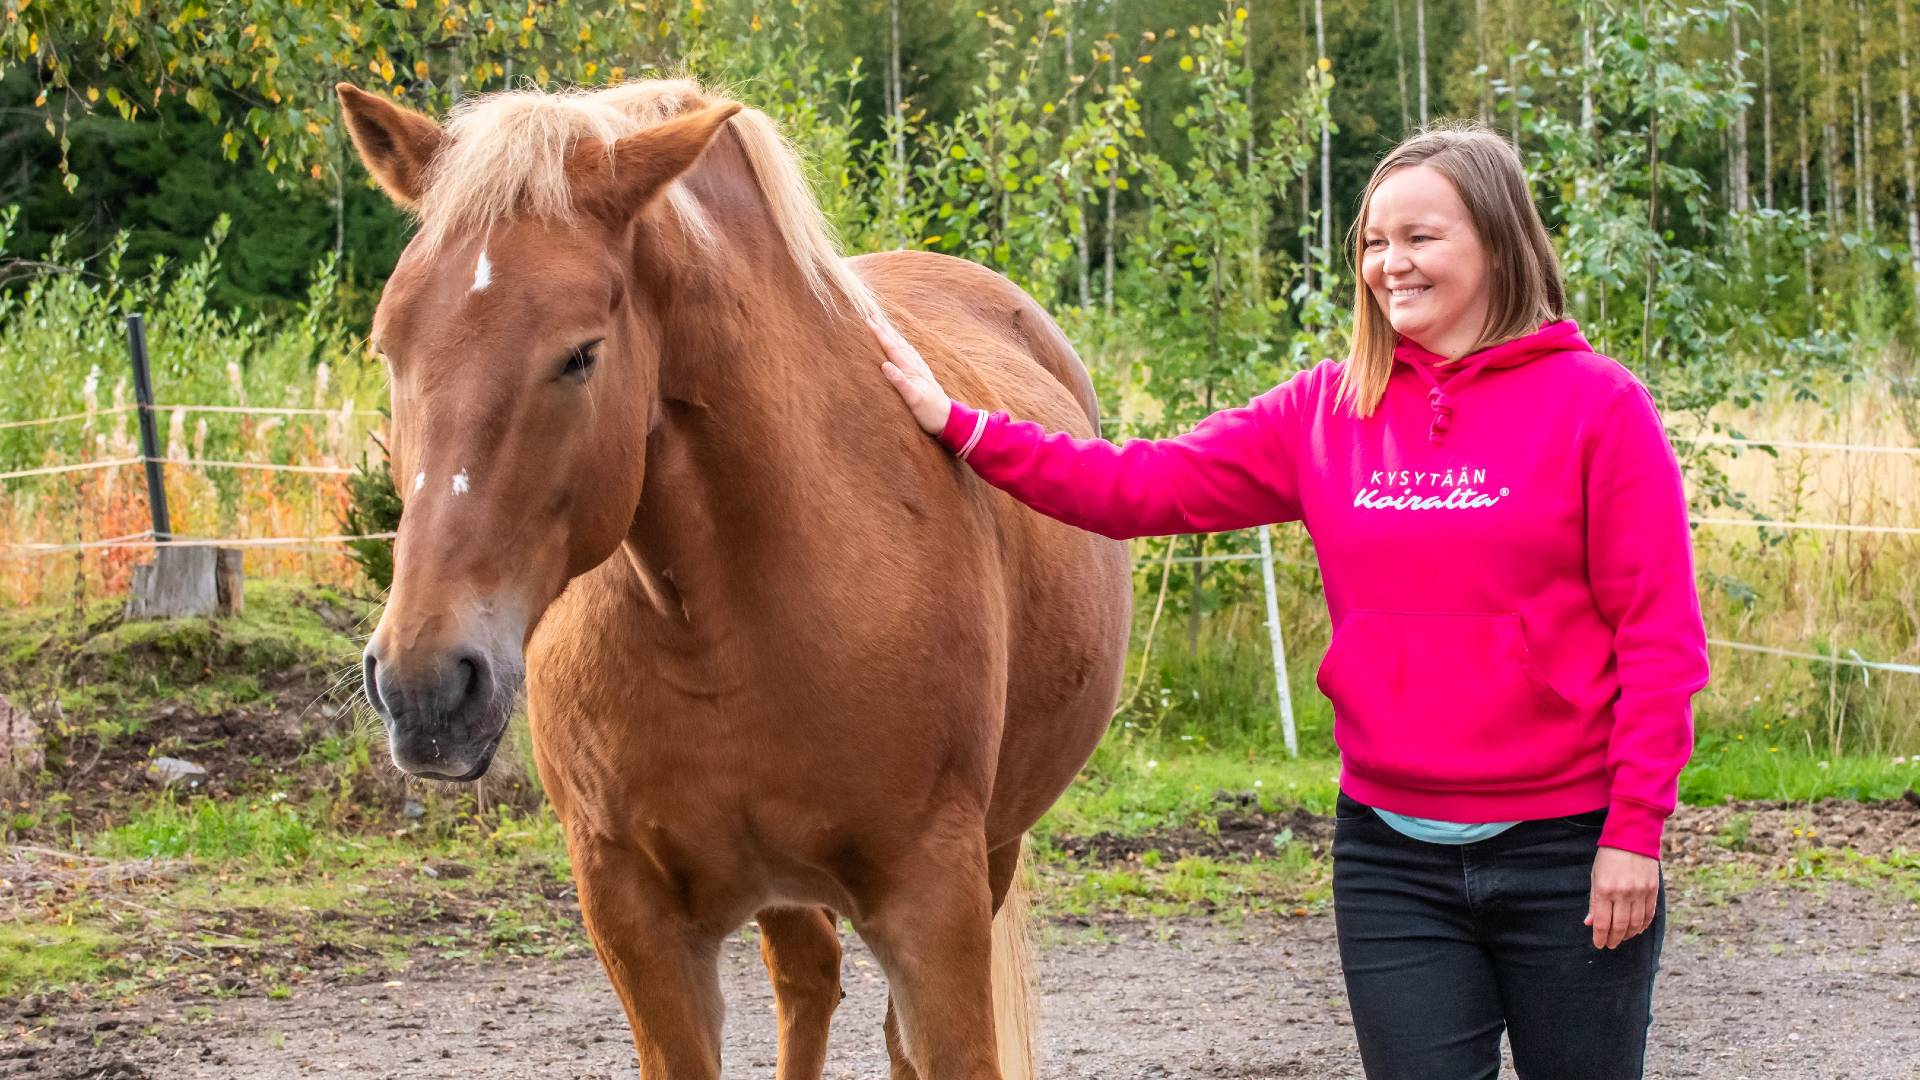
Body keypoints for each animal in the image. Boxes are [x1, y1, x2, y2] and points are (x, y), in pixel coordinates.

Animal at [337, 77, 1128, 1076]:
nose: (426, 684)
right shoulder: (635, 918)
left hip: (991, 851)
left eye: (580, 353)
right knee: (808, 981)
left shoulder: (933, 904)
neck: (722, 618)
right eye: (387, 344)